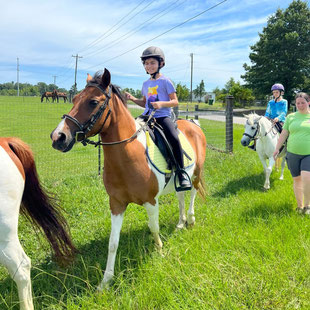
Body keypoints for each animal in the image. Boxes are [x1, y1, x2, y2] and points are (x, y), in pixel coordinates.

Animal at [50, 69, 206, 290]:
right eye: (74, 99)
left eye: (93, 102)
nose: (58, 137)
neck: (129, 155)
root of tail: (193, 123)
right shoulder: (116, 204)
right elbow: (113, 243)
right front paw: (105, 282)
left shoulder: (151, 201)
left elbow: (154, 228)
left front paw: (159, 252)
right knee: (181, 197)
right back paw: (180, 223)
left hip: (196, 173)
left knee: (192, 193)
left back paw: (190, 220)